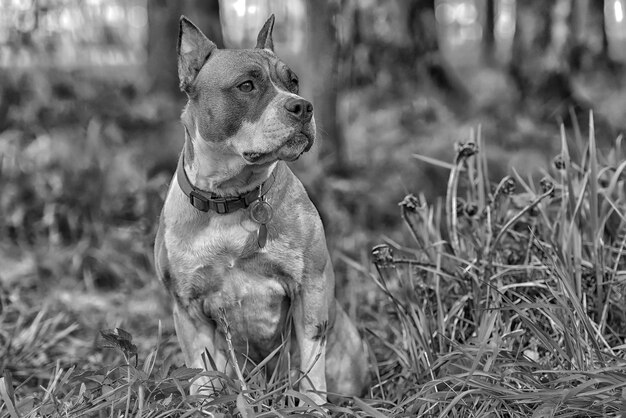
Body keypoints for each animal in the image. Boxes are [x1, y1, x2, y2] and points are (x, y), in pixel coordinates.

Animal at [154, 14, 368, 404]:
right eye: (247, 85)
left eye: (293, 81)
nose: (303, 106)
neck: (229, 197)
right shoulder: (188, 310)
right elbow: (202, 376)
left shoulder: (309, 290)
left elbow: (311, 372)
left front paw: (313, 408)